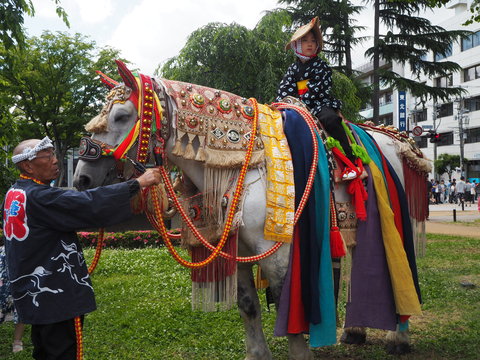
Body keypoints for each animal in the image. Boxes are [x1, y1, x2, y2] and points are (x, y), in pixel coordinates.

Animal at [74, 60, 432, 358]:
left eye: (122, 117)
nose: (81, 179)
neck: (243, 162)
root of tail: (398, 140)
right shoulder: (238, 252)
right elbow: (248, 306)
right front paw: (257, 353)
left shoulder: (277, 253)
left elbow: (288, 302)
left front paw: (301, 353)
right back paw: (355, 330)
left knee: (401, 264)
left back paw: (399, 337)